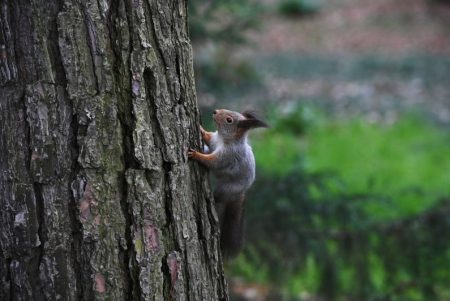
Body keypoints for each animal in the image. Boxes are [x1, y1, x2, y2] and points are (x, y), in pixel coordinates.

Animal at [189, 109, 268, 256]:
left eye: (229, 120)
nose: (215, 111)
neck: (225, 140)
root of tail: (242, 192)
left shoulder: (228, 156)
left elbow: (212, 162)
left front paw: (197, 155)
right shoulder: (214, 140)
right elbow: (208, 138)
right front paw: (201, 129)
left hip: (228, 188)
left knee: (219, 197)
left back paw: (212, 199)